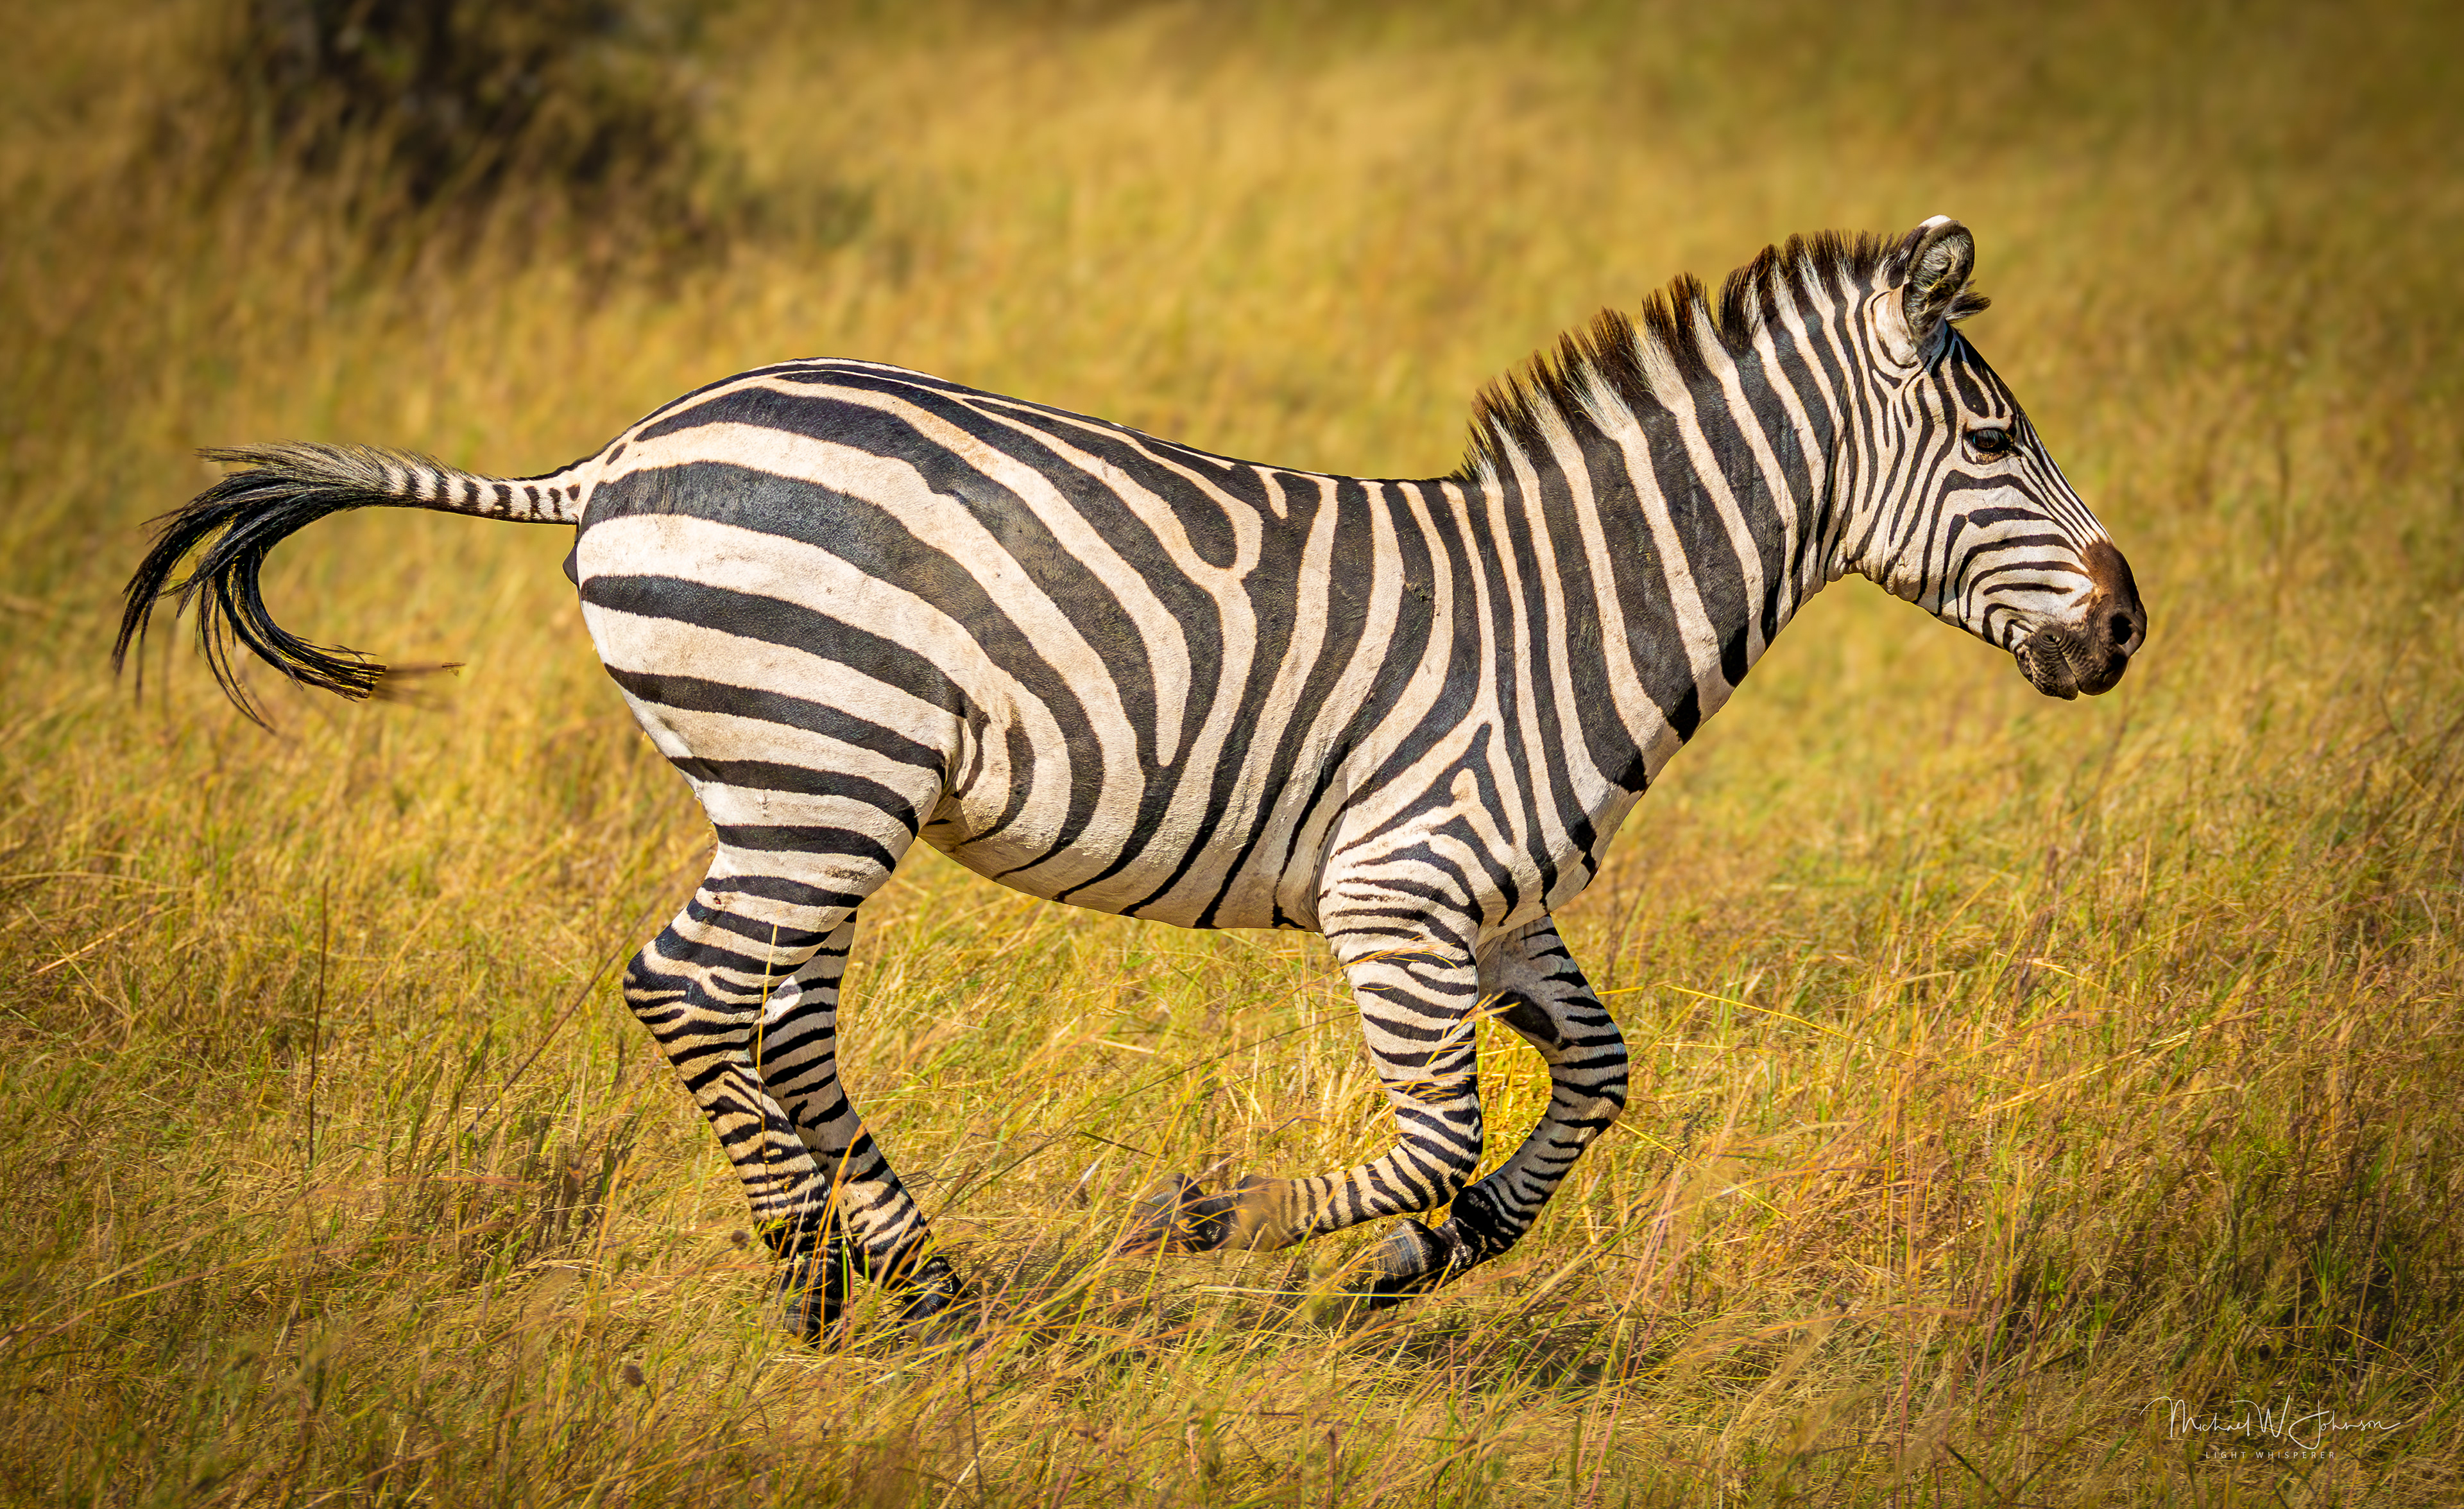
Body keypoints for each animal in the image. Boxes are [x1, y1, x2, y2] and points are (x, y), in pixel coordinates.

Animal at [117, 217, 2144, 1337]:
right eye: (1991, 437)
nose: (2126, 626)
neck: (1572, 608)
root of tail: (617, 455)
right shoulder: (1397, 890)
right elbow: (1435, 1124)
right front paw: (1216, 1219)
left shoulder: (1495, 905)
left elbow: (1595, 1082)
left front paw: (1437, 1258)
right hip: (816, 766)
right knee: (689, 986)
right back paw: (807, 1273)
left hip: (802, 792)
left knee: (776, 1014)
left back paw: (921, 1274)